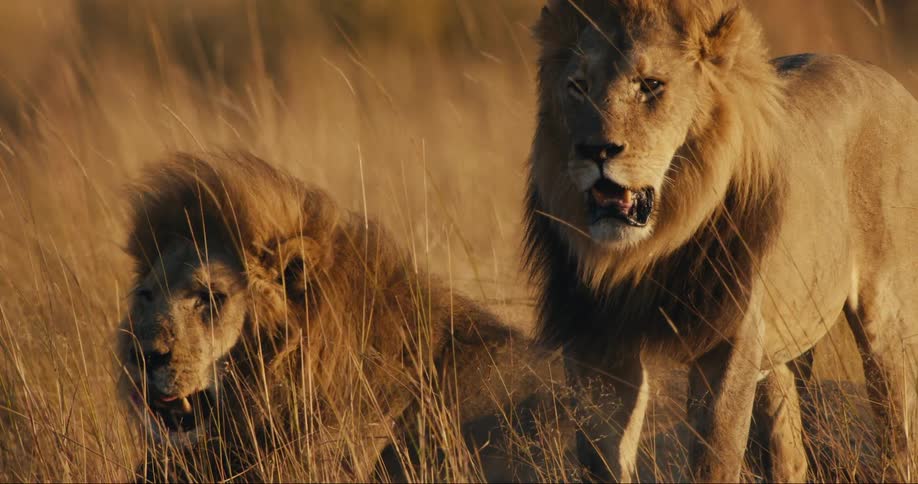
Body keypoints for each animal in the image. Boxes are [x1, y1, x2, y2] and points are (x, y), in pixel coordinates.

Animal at [525, 0, 918, 481]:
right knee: (789, 454)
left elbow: (716, 456)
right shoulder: (595, 345)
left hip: (886, 320)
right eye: (577, 87)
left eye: (651, 86)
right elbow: (602, 458)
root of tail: (885, 78)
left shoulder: (729, 340)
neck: (642, 256)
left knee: (899, 436)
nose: (595, 150)